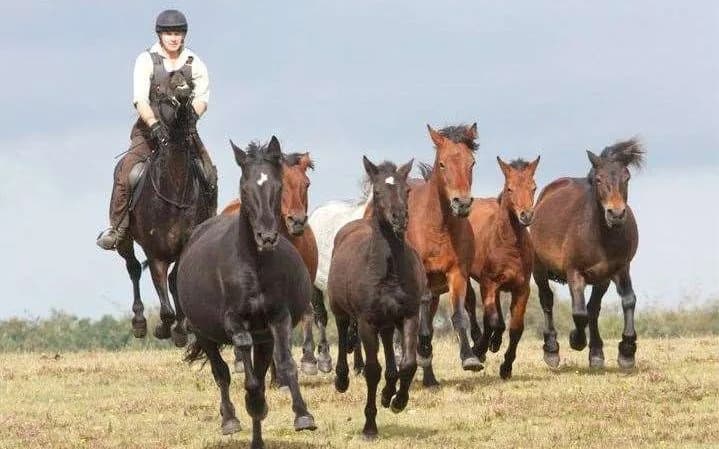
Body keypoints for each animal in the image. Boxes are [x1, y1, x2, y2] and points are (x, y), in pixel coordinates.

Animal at [116, 81, 215, 347]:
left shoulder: (183, 249)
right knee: (133, 268)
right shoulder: (156, 254)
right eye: (166, 98)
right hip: (125, 240)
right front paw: (163, 328)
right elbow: (166, 306)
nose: (182, 97)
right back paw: (139, 323)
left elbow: (174, 282)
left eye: (190, 96)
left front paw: (181, 329)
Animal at [178, 137, 316, 448]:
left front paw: (303, 415)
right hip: (204, 334)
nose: (267, 237)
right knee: (221, 373)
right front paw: (253, 402)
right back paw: (230, 419)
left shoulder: (278, 318)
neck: (253, 265)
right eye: (245, 188)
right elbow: (247, 376)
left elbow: (286, 364)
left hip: (262, 337)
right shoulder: (234, 323)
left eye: (277, 186)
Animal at [328, 156, 431, 439]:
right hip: (340, 309)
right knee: (342, 332)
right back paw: (342, 379)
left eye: (407, 190)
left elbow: (409, 363)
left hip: (388, 321)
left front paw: (397, 401)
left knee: (388, 346)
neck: (388, 270)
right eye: (377, 191)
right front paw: (369, 426)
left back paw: (388, 392)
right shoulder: (366, 321)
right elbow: (372, 370)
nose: (399, 218)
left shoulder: (409, 315)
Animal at [463, 156, 540, 379]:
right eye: (509, 188)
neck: (510, 247)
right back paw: (481, 344)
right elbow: (492, 320)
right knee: (471, 305)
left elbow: (516, 329)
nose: (526, 216)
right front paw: (480, 350)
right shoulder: (488, 283)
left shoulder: (521, 289)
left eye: (534, 187)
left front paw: (506, 367)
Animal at [531, 138, 644, 370]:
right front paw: (575, 339)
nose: (616, 214)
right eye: (599, 179)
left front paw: (627, 352)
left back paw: (596, 353)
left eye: (626, 177)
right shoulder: (575, 272)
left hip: (602, 279)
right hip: (539, 269)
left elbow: (628, 300)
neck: (601, 236)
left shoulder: (619, 269)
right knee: (547, 301)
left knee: (593, 308)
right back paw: (552, 350)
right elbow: (578, 312)